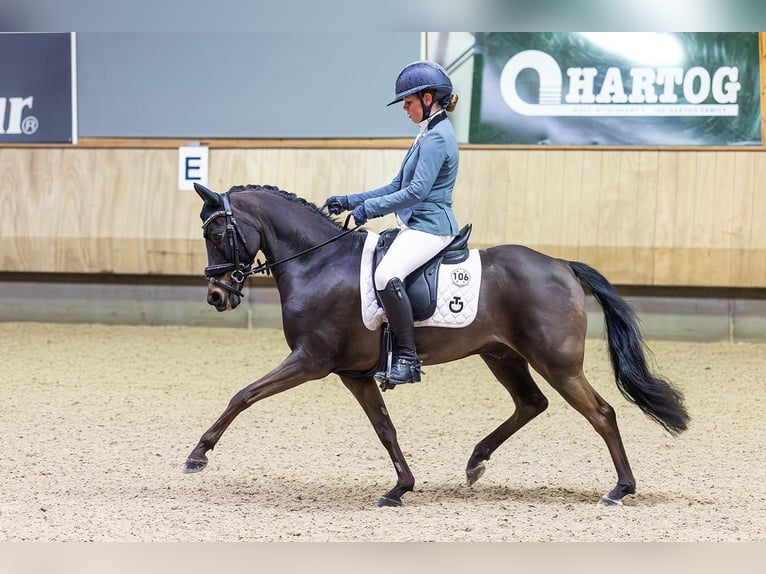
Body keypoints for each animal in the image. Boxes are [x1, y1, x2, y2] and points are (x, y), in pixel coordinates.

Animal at [183, 182, 689, 507]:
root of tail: (562, 265)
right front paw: (400, 488)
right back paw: (476, 461)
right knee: (531, 404)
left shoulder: (311, 360)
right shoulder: (353, 374)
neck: (318, 263)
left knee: (601, 413)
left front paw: (198, 454)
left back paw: (621, 489)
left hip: (557, 363)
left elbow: (244, 394)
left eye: (216, 234)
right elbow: (385, 429)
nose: (216, 296)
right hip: (502, 355)